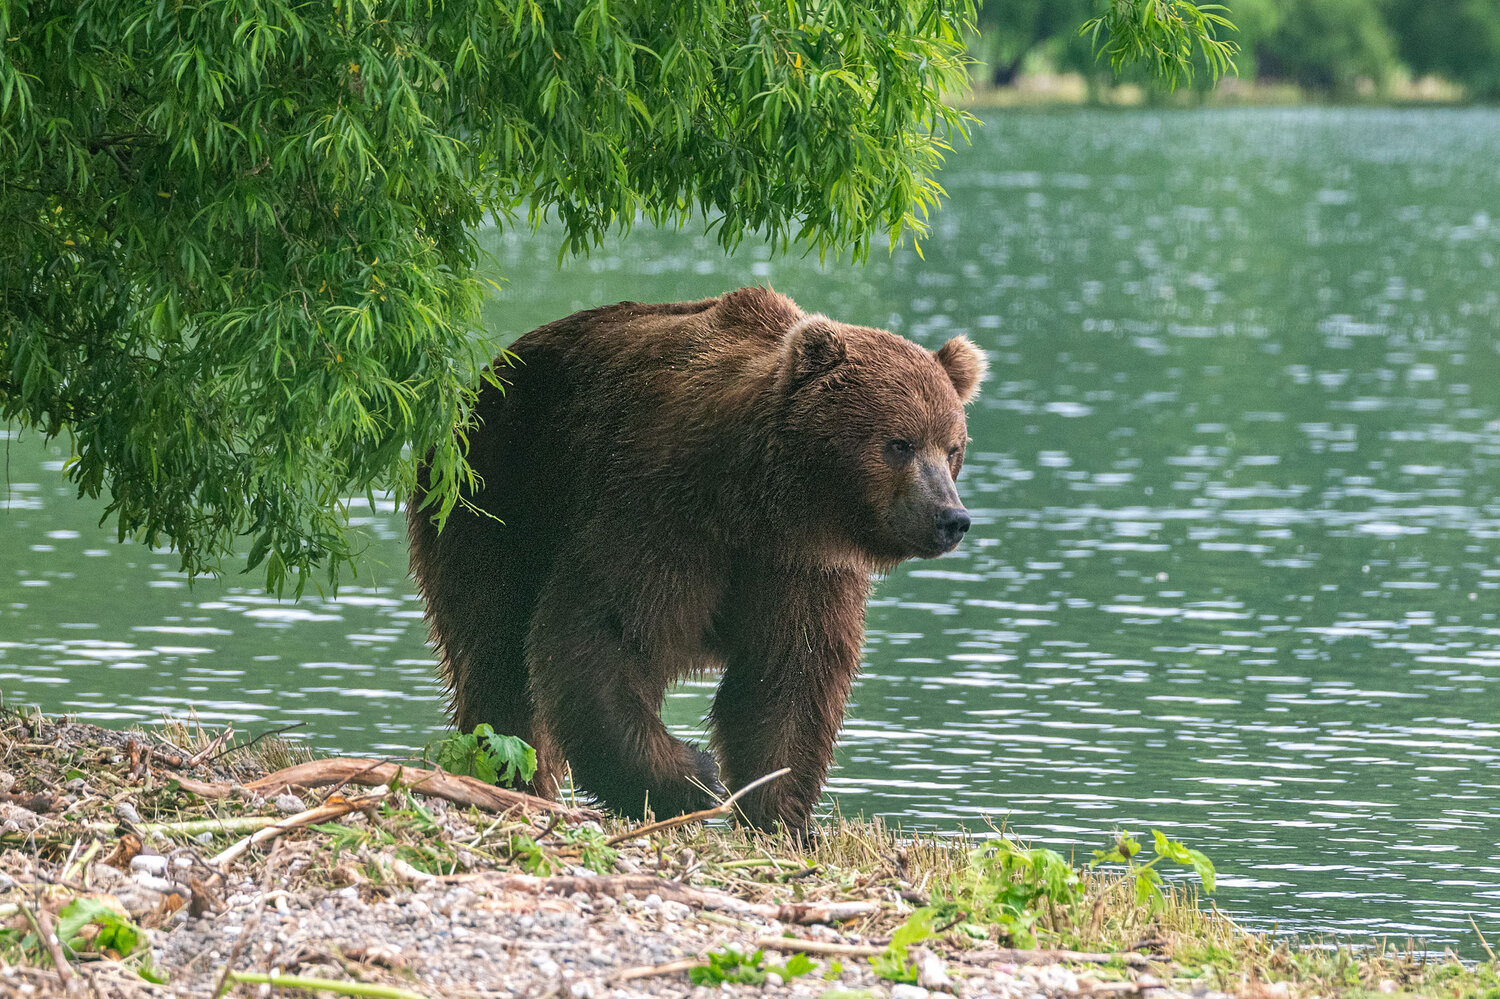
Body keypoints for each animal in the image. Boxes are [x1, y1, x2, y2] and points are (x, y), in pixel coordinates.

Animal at [407, 287, 986, 833]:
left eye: (952, 447)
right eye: (900, 443)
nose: (950, 517)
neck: (754, 499)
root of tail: (483, 382)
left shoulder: (800, 565)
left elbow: (790, 677)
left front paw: (782, 815)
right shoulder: (660, 512)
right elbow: (602, 637)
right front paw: (692, 778)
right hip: (491, 497)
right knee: (495, 645)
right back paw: (515, 778)